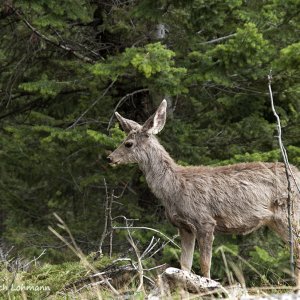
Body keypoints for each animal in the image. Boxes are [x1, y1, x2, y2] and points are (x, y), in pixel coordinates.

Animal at [107, 99, 300, 286]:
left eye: (128, 143)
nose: (109, 158)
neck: (173, 189)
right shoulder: (184, 227)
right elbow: (185, 266)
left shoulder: (205, 221)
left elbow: (205, 266)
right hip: (276, 220)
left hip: (289, 214)